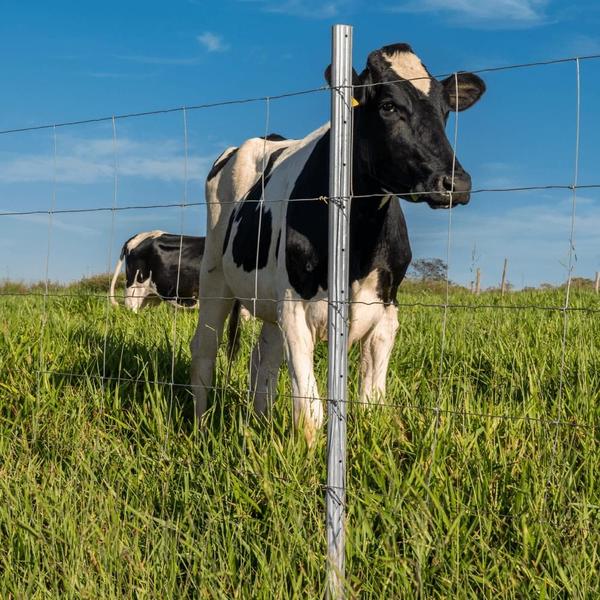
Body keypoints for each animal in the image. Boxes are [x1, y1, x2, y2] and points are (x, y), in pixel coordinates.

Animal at [190, 42, 486, 442]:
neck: (358, 245)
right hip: (215, 274)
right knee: (204, 350)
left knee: (262, 360)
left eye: (444, 110)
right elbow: (309, 412)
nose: (456, 182)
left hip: (266, 299)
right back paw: (199, 427)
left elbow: (371, 403)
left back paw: (260, 425)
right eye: (387, 106)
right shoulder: (295, 308)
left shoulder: (386, 310)